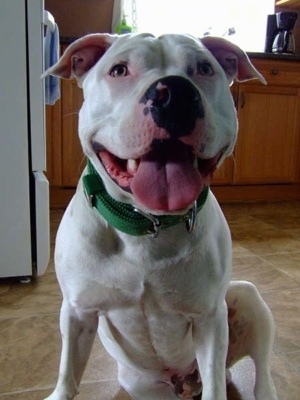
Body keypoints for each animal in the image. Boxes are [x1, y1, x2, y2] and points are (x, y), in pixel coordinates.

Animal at [43, 32, 278, 398]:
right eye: (119, 70)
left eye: (204, 68)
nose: (175, 94)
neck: (147, 223)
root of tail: (184, 379)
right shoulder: (78, 312)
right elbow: (68, 370)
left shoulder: (210, 319)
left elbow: (215, 385)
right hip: (143, 384)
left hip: (246, 298)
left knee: (259, 376)